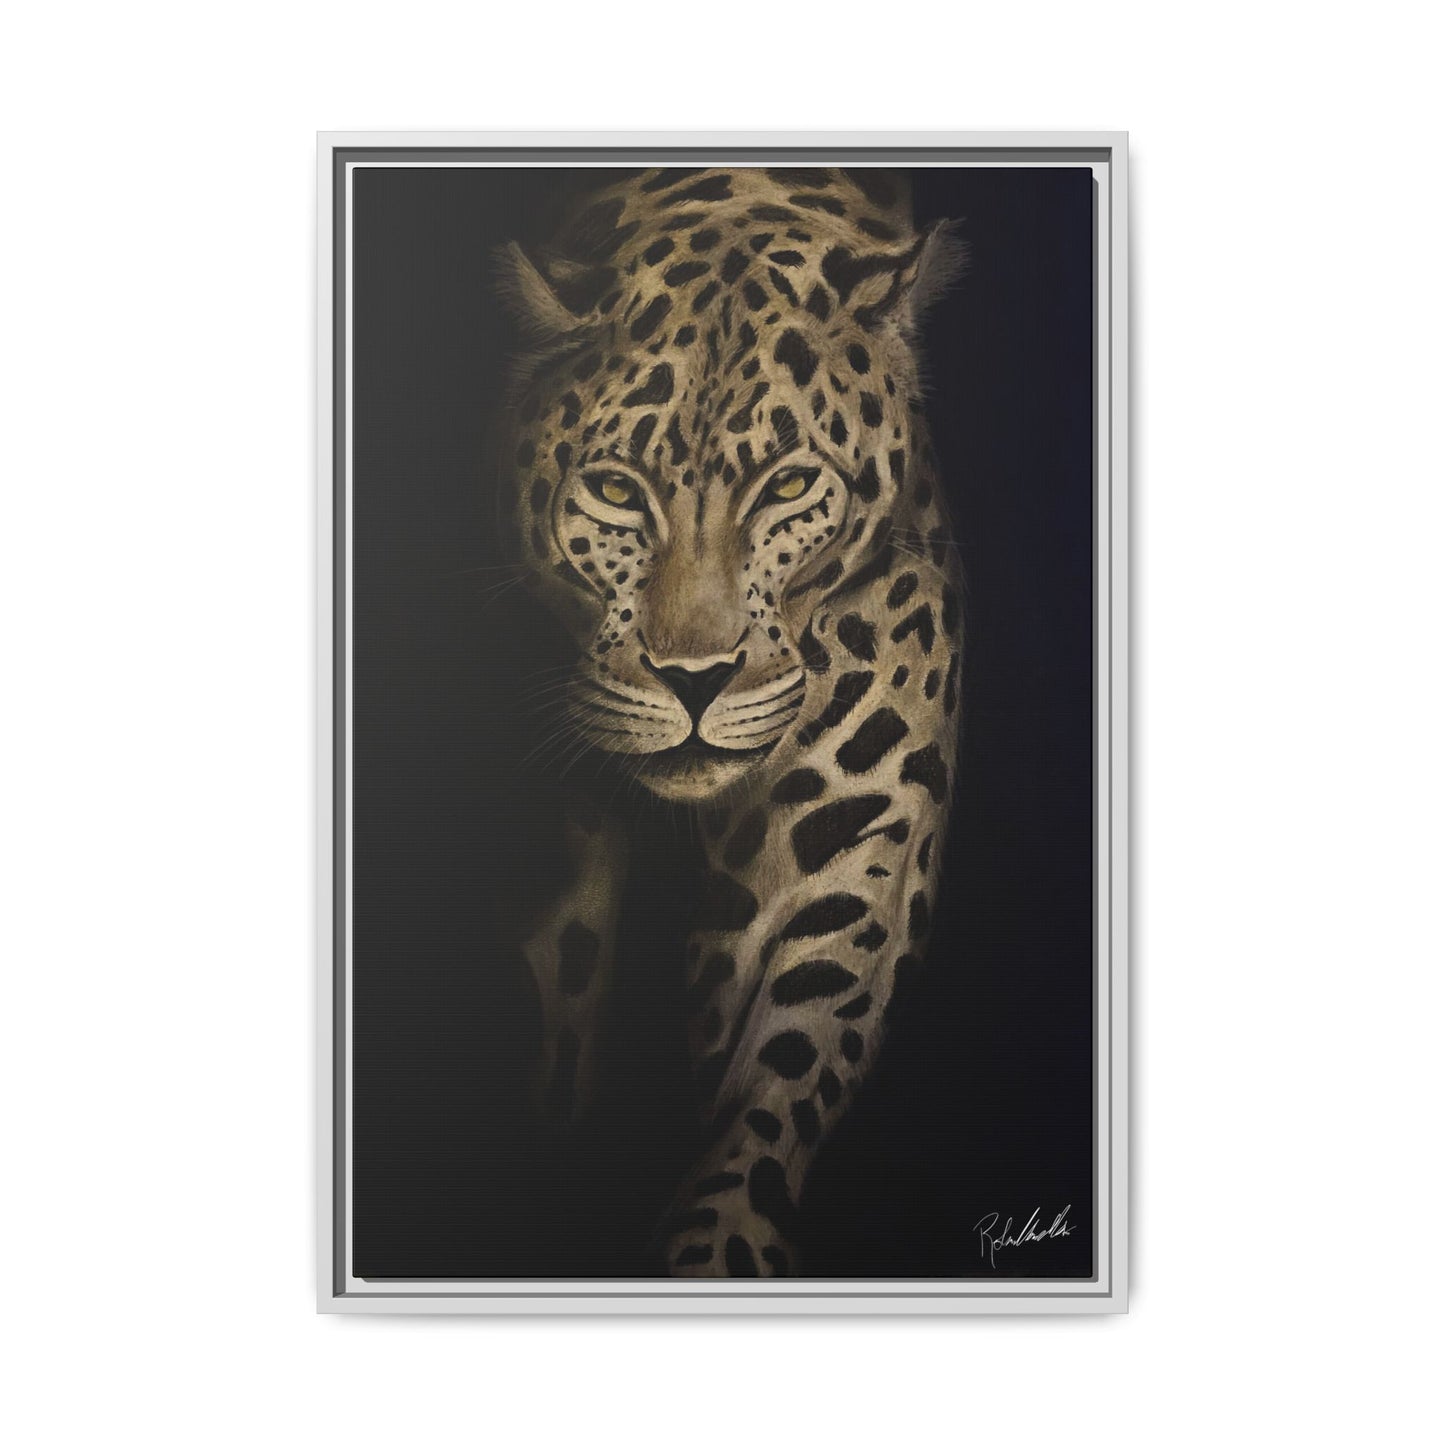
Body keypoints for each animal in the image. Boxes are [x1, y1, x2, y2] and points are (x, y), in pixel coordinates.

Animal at [494, 166, 965, 1278]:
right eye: (614, 488)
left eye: (787, 484)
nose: (694, 680)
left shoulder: (849, 846)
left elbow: (781, 1074)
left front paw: (717, 1246)